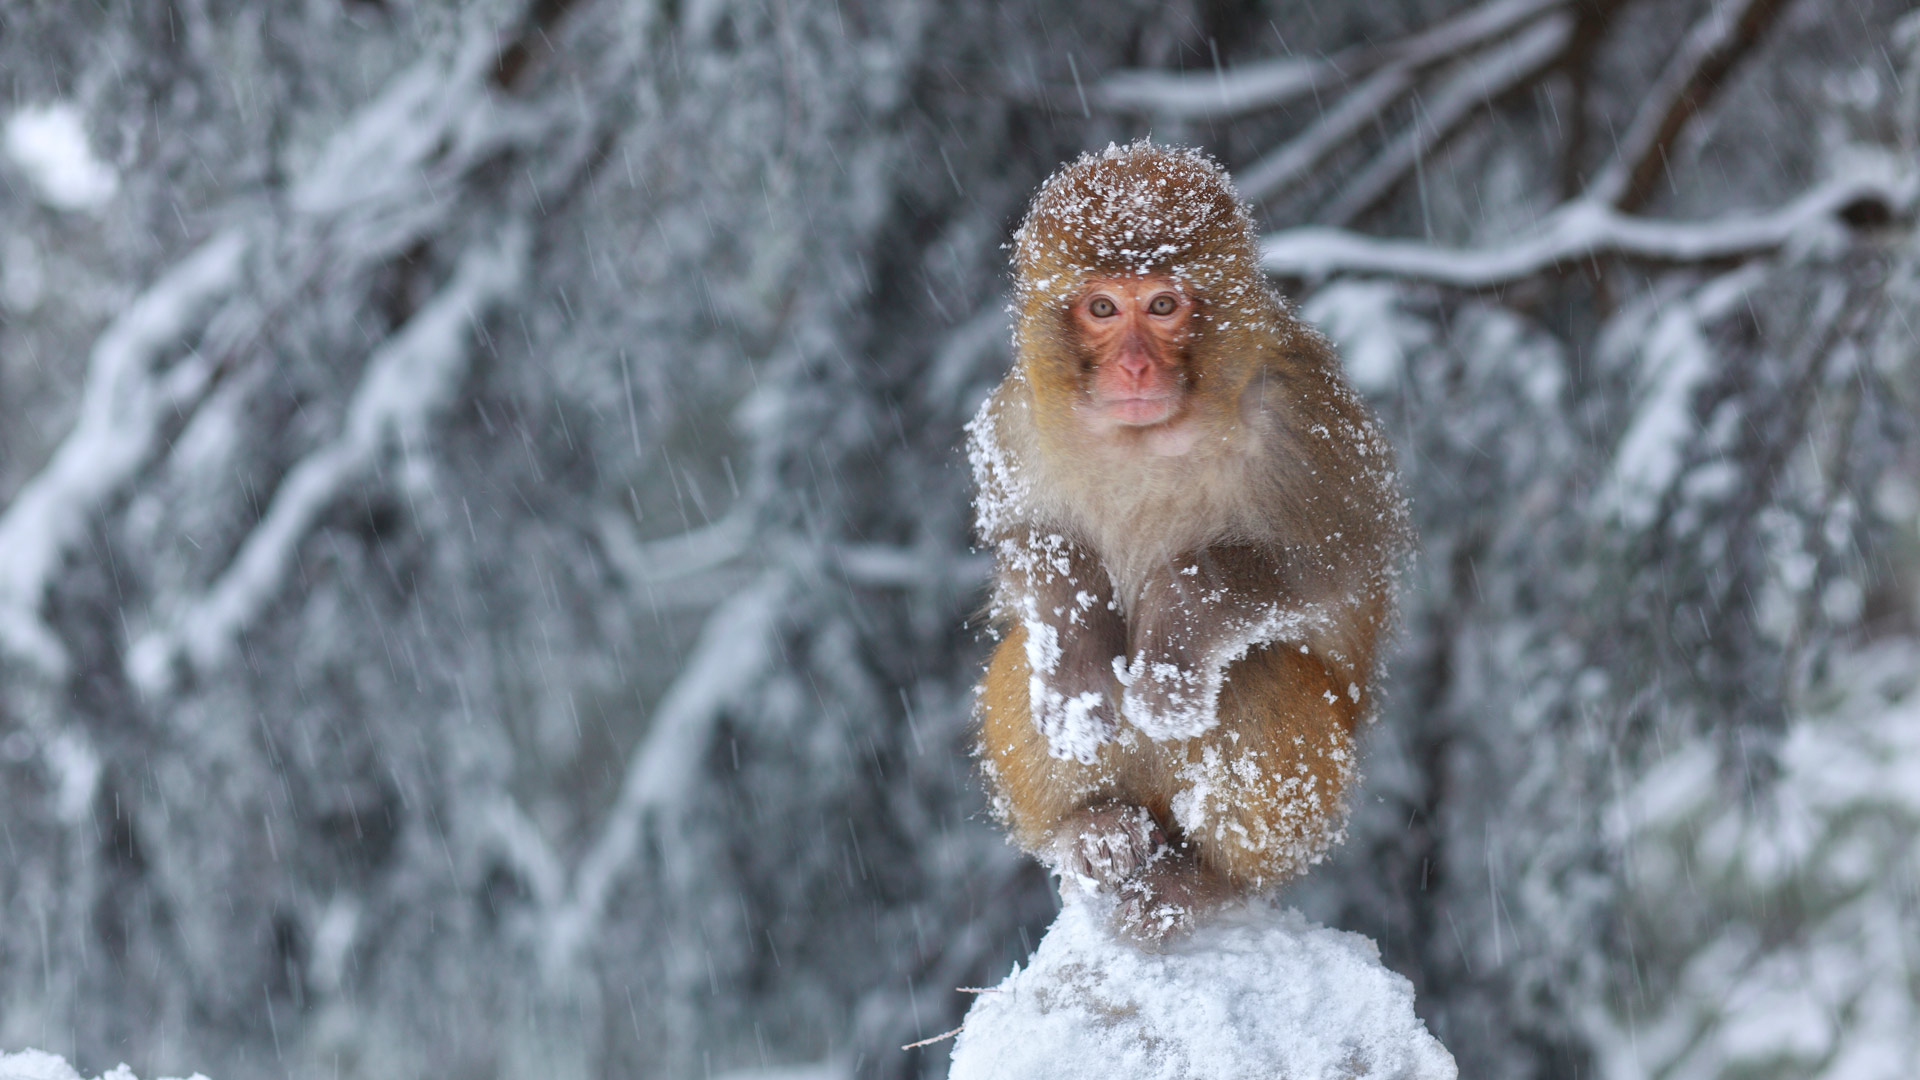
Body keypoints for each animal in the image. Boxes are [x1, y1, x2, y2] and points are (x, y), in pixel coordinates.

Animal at [975, 141, 1413, 933]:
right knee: (1025, 652)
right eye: (1102, 307)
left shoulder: (1307, 423)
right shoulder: (1018, 422)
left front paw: (1175, 630)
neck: (1149, 439)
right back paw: (1088, 828)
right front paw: (1077, 654)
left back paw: (1207, 881)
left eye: (1164, 305)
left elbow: (1336, 561)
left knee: (1259, 673)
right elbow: (1027, 545)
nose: (1134, 366)